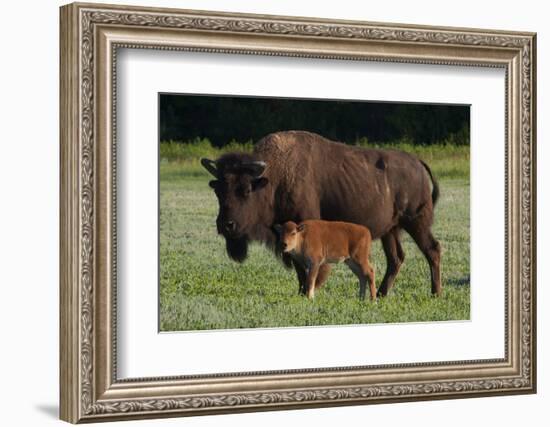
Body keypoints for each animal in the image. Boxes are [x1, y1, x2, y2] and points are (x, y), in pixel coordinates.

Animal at [201, 131, 442, 298]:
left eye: (246, 190)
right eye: (218, 190)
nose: (226, 225)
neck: (274, 178)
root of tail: (418, 163)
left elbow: (308, 268)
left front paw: (309, 291)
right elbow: (299, 266)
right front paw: (301, 293)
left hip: (416, 222)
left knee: (432, 250)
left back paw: (435, 293)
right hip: (391, 230)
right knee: (396, 258)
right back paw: (382, 295)